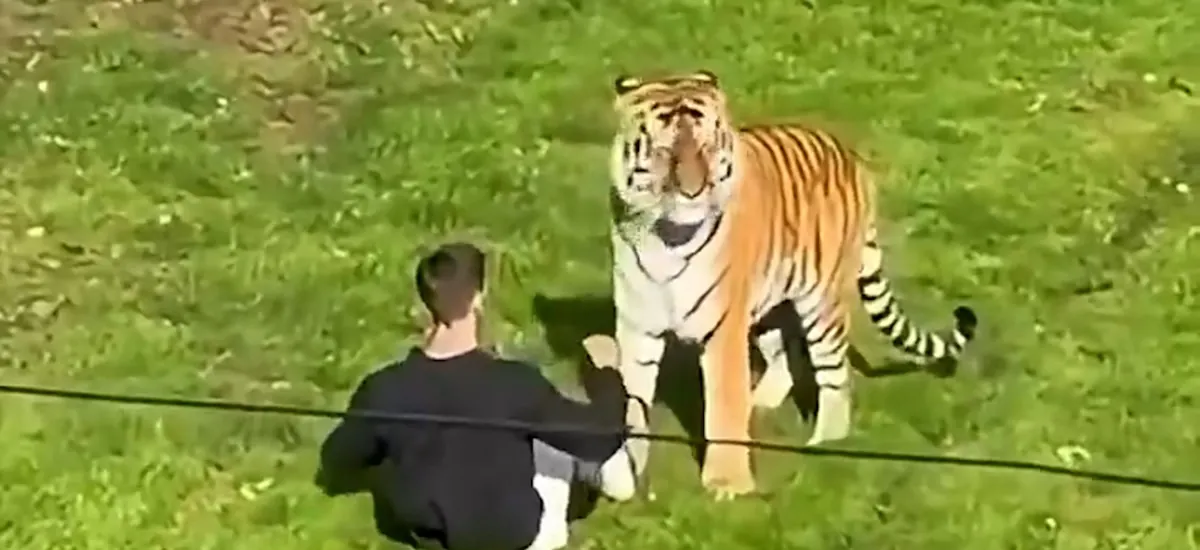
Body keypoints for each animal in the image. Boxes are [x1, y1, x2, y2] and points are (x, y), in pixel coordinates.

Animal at [597, 69, 979, 500]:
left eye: (707, 147)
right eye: (665, 153)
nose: (693, 192)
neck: (665, 236)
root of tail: (851, 158)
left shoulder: (722, 327)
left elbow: (723, 406)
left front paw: (728, 484)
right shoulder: (637, 326)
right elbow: (630, 400)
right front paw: (626, 469)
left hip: (822, 304)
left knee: (834, 376)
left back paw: (825, 443)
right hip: (769, 299)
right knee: (781, 354)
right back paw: (759, 403)